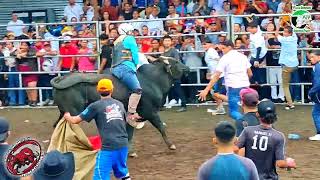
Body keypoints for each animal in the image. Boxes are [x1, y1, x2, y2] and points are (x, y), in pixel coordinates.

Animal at [51, 57, 189, 153]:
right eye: (176, 62)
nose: (187, 67)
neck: (152, 80)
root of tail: (61, 79)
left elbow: (130, 132)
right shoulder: (150, 112)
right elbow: (160, 126)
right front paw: (171, 145)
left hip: (63, 112)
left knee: (57, 127)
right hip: (73, 113)